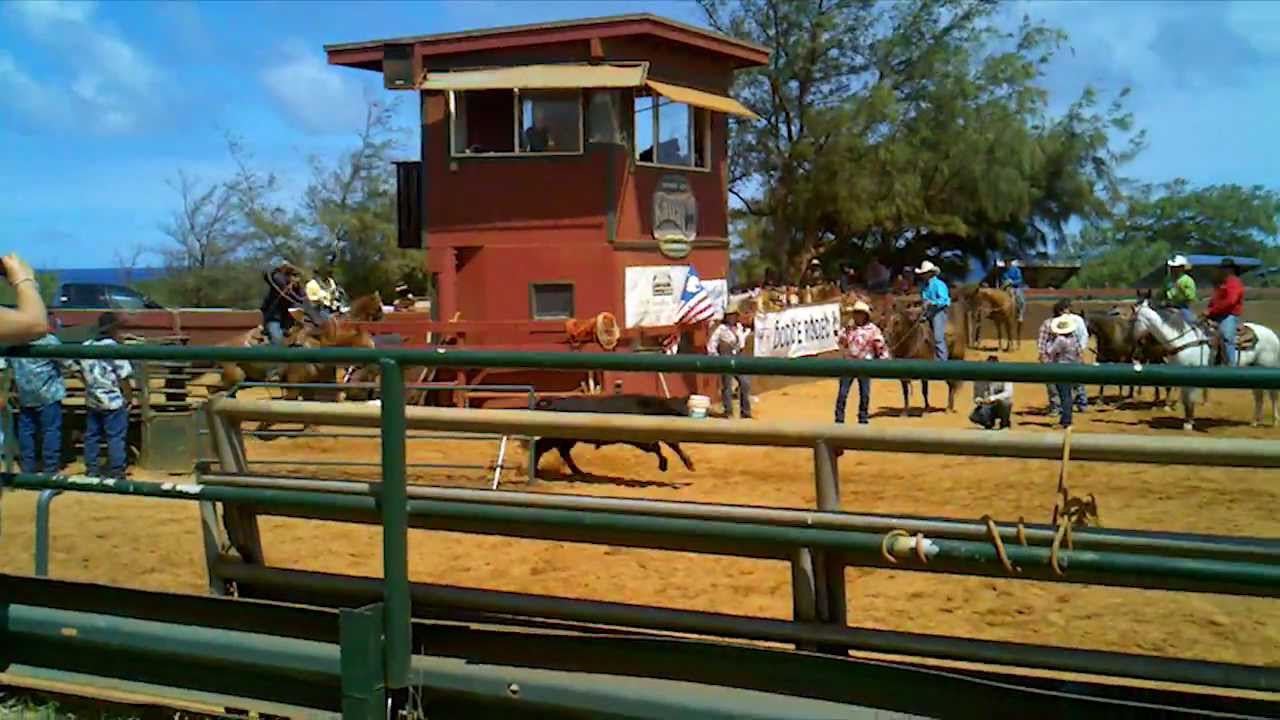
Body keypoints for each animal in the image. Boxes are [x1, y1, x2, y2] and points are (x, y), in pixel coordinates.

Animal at [527, 394, 696, 474]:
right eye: (679, 412)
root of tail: (552, 402)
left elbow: (668, 446)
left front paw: (688, 464)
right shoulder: (640, 440)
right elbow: (657, 448)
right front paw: (664, 464)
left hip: (568, 439)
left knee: (563, 452)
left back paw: (579, 472)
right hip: (555, 437)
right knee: (541, 447)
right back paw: (536, 471)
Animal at [1131, 299, 1280, 427]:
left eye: (1134, 319)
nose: (1133, 340)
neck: (1184, 339)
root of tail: (1272, 334)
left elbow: (1190, 399)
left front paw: (1189, 423)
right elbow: (1185, 399)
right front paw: (1187, 420)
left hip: (1267, 367)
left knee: (1272, 396)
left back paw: (1274, 421)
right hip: (1254, 370)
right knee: (1259, 397)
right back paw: (1254, 422)